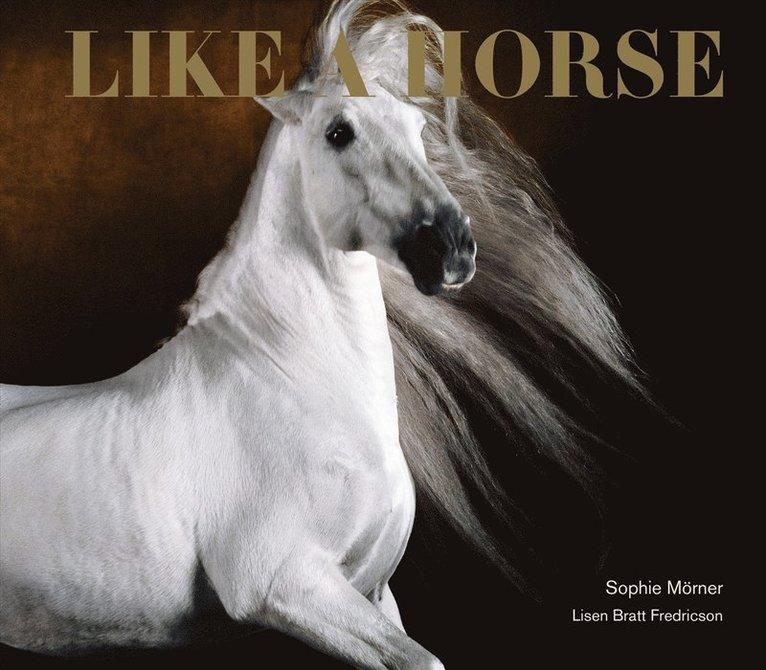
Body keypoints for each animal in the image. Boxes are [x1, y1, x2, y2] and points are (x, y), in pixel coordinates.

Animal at [0, 1, 639, 667]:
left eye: (417, 127)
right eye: (338, 132)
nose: (452, 248)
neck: (292, 380)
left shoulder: (373, 592)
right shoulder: (284, 583)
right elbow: (422, 658)